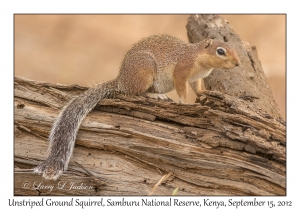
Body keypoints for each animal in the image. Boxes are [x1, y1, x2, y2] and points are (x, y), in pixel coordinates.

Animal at [33, 33, 239, 180]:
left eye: (234, 48)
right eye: (221, 51)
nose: (238, 63)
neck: (198, 58)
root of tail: (121, 81)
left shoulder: (196, 78)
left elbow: (197, 88)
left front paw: (204, 94)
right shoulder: (181, 72)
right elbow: (182, 88)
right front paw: (182, 101)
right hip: (144, 72)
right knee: (136, 93)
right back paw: (155, 95)